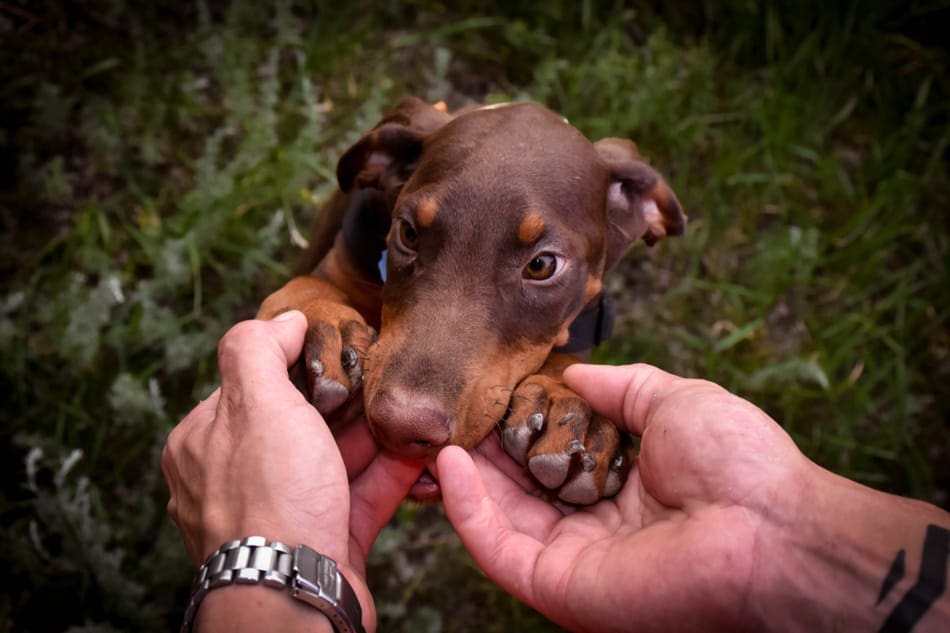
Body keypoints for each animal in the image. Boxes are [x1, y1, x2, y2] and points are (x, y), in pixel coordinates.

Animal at [260, 97, 688, 504]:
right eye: (408, 233)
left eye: (543, 265)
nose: (402, 428)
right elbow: (307, 287)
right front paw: (316, 323)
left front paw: (569, 405)